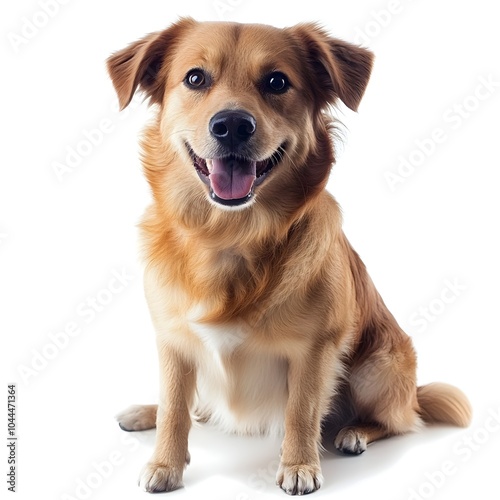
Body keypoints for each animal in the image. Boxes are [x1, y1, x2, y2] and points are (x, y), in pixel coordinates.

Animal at [106, 18, 472, 496]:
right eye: (195, 78)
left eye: (277, 82)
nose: (231, 125)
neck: (229, 235)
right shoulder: (173, 341)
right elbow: (174, 406)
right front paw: (165, 461)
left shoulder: (314, 350)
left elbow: (301, 410)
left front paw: (299, 465)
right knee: (194, 406)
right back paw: (146, 412)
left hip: (378, 366)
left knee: (396, 420)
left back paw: (354, 432)